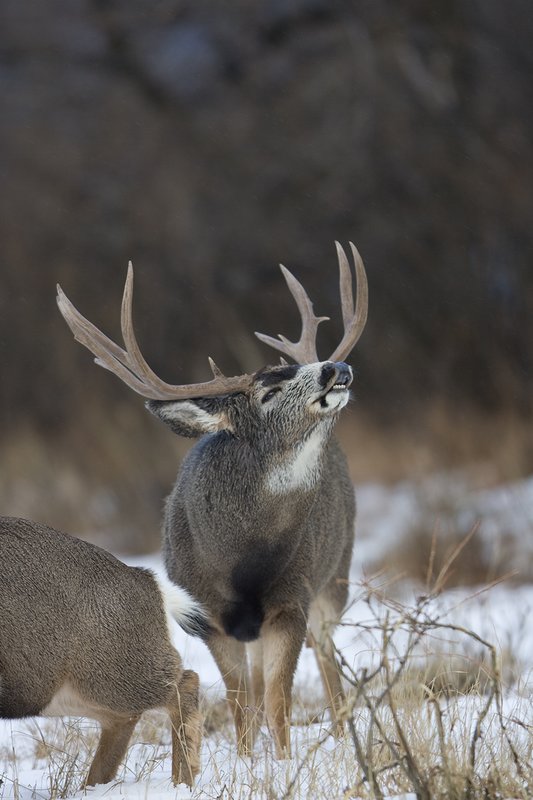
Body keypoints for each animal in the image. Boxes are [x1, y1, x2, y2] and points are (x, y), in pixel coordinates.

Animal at [0, 515, 207, 787]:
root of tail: (150, 581)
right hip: (69, 691)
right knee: (123, 717)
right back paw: (93, 785)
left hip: (109, 672)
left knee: (184, 682)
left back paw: (183, 778)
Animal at [56, 241, 368, 758]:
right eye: (268, 391)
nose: (336, 367)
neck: (243, 562)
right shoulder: (208, 617)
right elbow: (243, 704)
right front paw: (246, 760)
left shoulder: (293, 598)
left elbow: (279, 702)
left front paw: (283, 762)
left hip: (337, 573)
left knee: (327, 662)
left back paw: (345, 738)